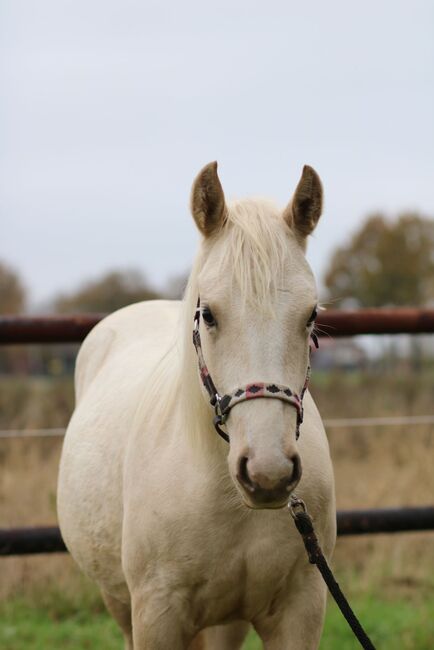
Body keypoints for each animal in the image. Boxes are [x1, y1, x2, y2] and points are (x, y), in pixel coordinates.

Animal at [56, 159, 336, 644]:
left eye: (311, 315)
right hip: (119, 601)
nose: (267, 474)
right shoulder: (156, 615)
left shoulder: (301, 609)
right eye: (208, 314)